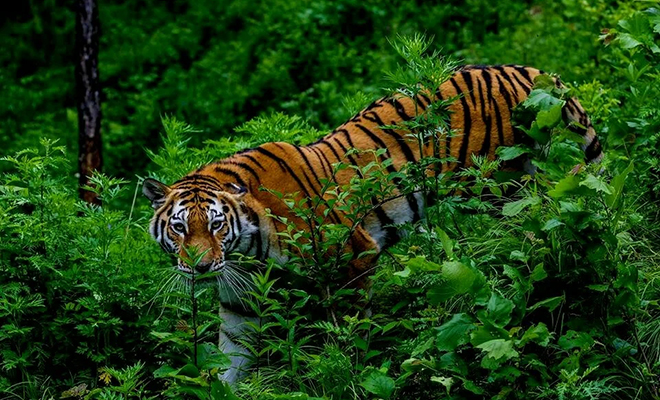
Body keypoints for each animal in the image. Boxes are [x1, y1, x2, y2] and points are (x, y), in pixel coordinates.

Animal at [143, 64, 604, 382]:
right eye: (180, 228)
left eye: (216, 225)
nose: (201, 267)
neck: (246, 251)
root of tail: (534, 72)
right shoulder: (239, 299)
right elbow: (232, 359)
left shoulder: (351, 257)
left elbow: (348, 334)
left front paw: (345, 371)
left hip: (509, 187)